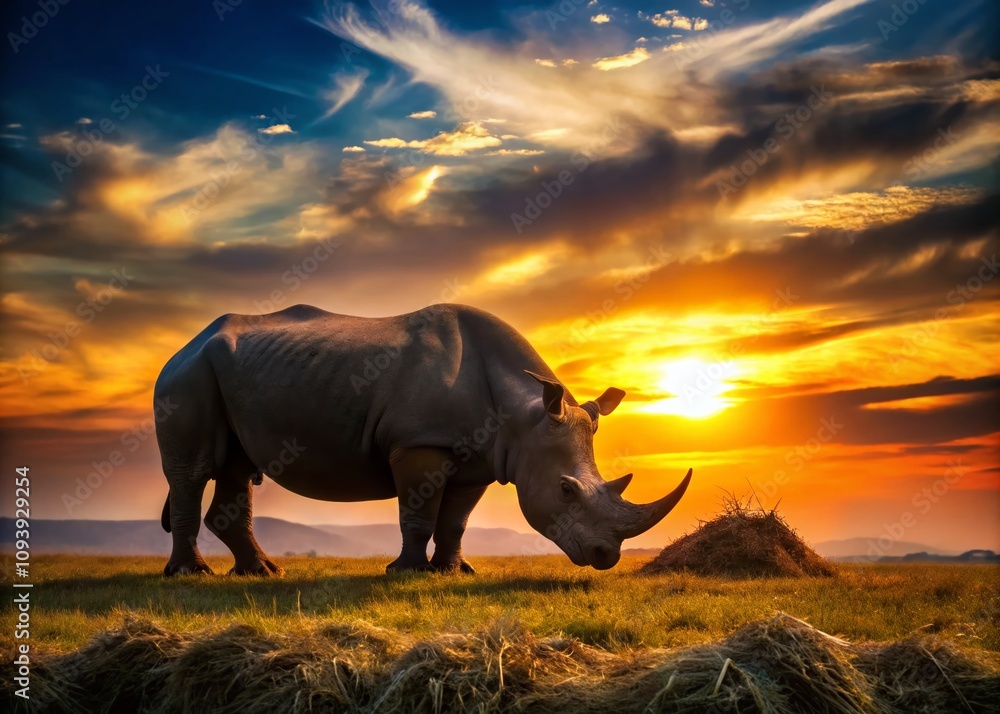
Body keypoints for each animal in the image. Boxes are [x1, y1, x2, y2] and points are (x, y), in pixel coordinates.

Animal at [155, 304, 692, 576]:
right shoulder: (419, 443)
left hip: (228, 373)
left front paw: (453, 572)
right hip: (186, 376)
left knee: (237, 469)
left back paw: (261, 573)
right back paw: (191, 575)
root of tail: (185, 344)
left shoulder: (481, 456)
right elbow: (417, 512)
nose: (607, 558)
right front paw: (406, 572)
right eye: (565, 490)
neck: (524, 416)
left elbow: (455, 519)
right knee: (193, 471)